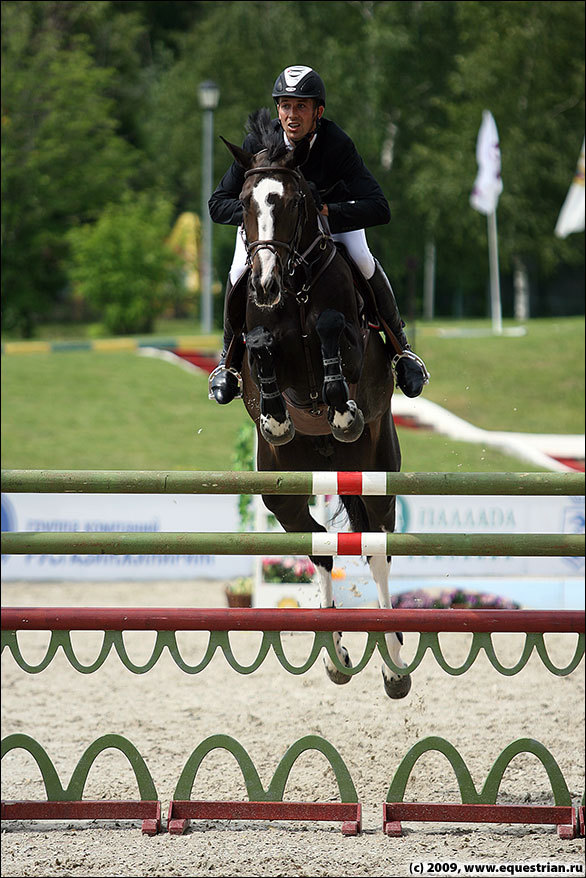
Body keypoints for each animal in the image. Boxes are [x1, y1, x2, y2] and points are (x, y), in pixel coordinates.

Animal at [221, 110, 408, 700]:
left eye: (296, 202)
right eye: (245, 202)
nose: (264, 283)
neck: (296, 283)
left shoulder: (349, 340)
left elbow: (329, 328)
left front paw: (341, 408)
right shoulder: (259, 337)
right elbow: (260, 346)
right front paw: (278, 415)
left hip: (376, 469)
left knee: (375, 546)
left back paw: (394, 666)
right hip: (281, 489)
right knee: (321, 545)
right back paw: (337, 656)